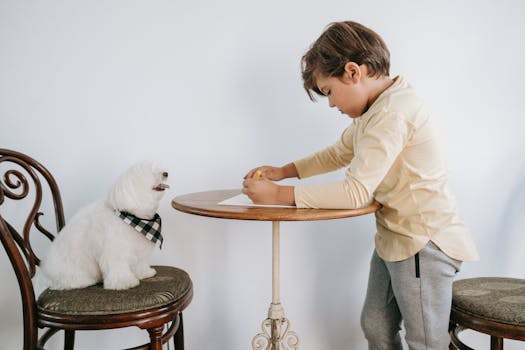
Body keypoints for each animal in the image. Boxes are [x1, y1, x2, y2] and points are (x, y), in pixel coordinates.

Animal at [42, 161, 171, 290]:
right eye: (150, 173)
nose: (166, 173)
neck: (134, 217)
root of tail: (47, 272)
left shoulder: (138, 249)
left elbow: (139, 263)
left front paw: (144, 273)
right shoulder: (116, 249)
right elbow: (118, 266)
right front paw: (123, 282)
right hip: (73, 266)